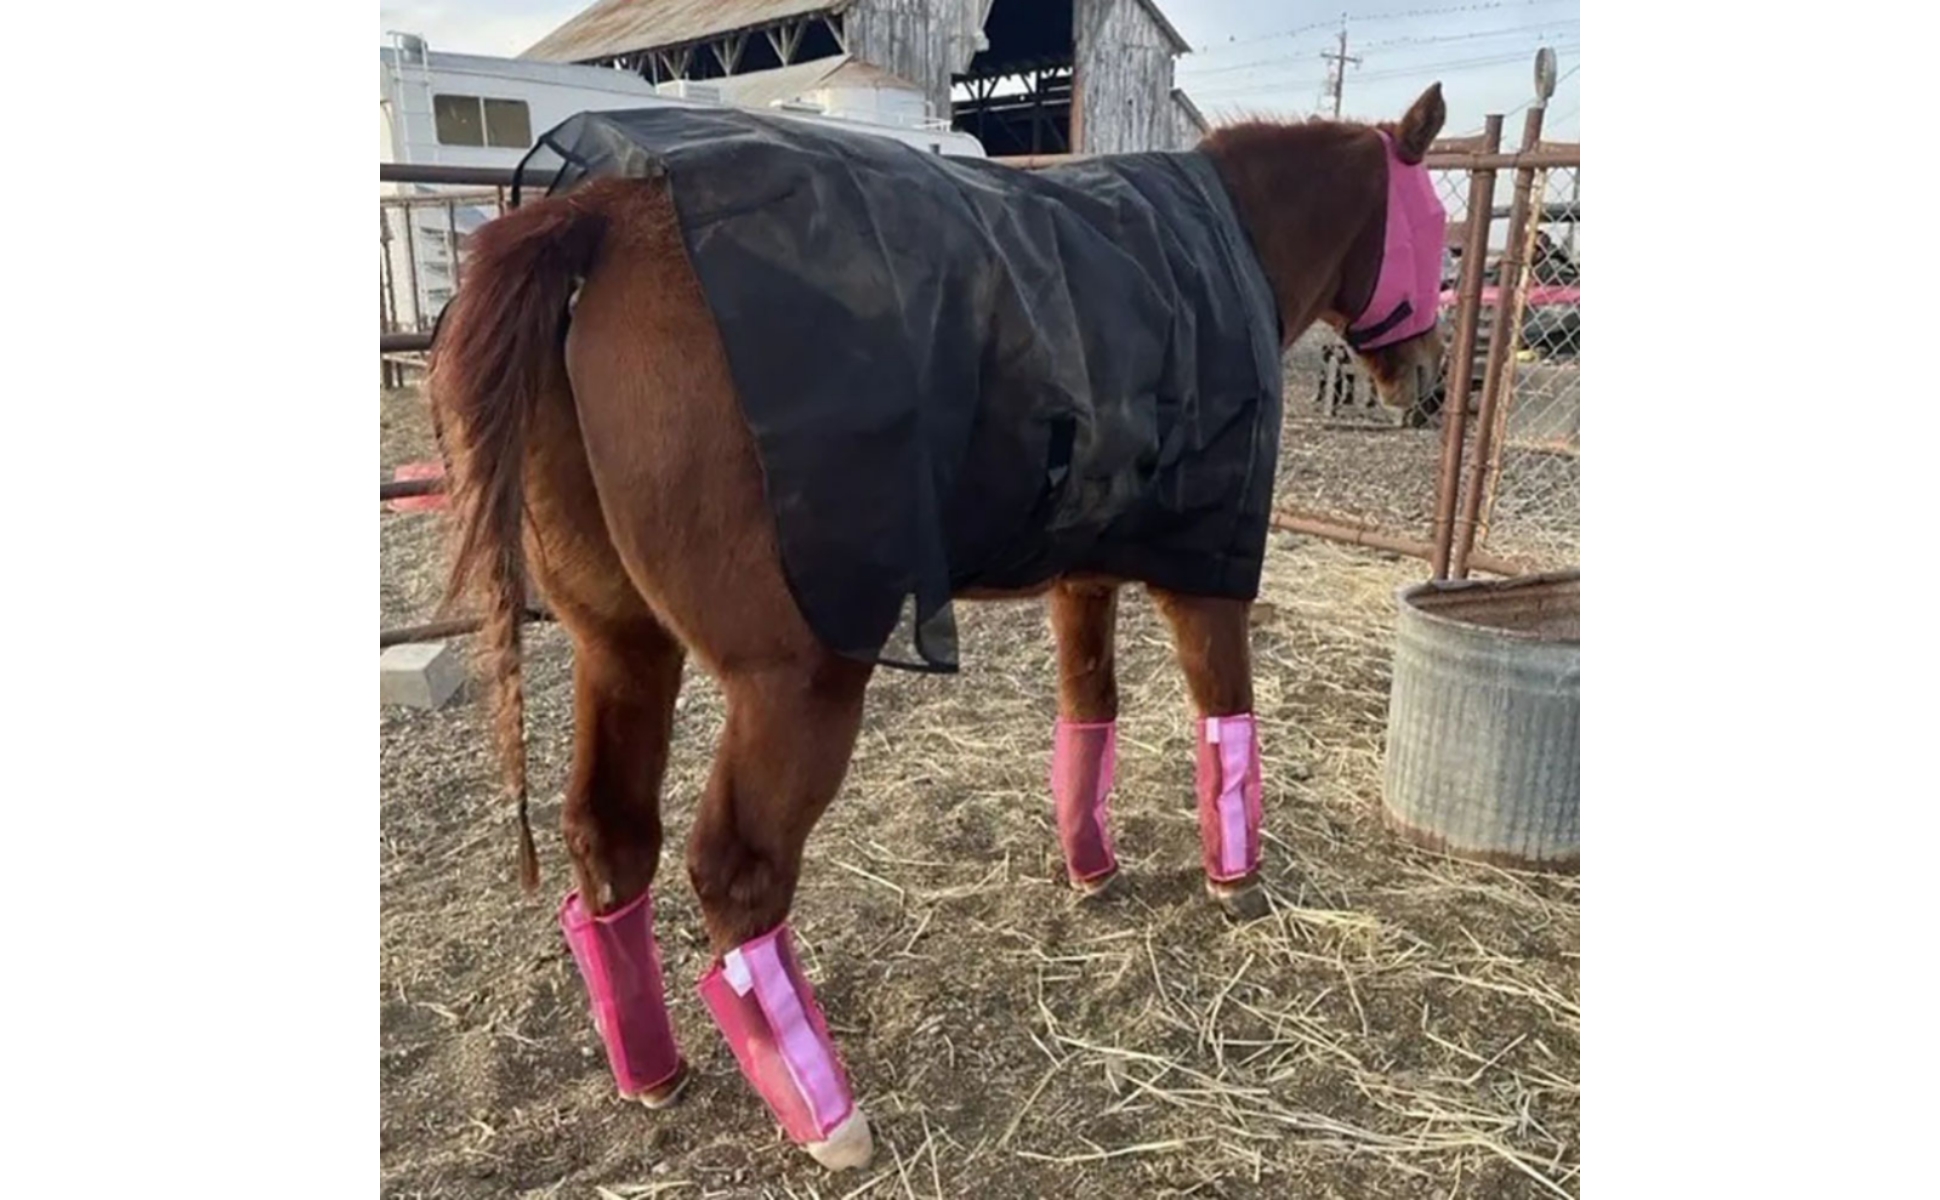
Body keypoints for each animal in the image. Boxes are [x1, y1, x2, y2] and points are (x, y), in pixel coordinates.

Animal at [424, 83, 1449, 1172]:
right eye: (1436, 222)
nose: (1428, 381)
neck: (1210, 248)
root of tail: (605, 215)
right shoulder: (1204, 574)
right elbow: (1227, 718)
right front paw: (1235, 880)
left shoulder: (1081, 571)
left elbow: (1089, 713)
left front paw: (1090, 869)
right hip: (795, 679)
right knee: (736, 872)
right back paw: (825, 1114)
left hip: (620, 645)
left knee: (611, 836)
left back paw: (653, 1071)